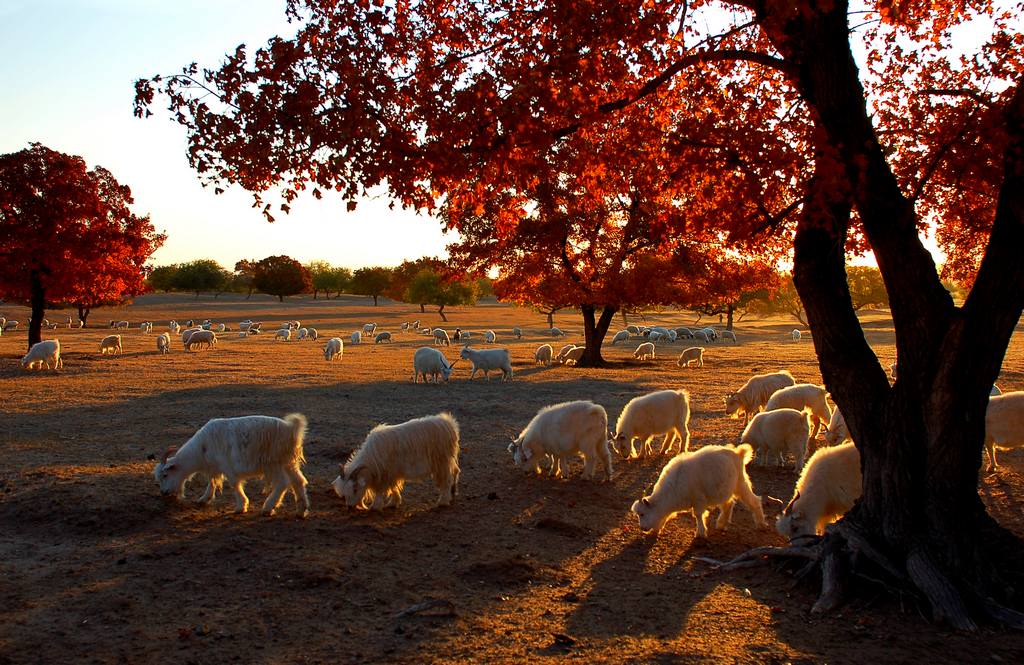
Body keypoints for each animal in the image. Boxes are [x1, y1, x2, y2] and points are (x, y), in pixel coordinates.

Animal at [151, 411, 309, 516]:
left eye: (165, 475)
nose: (163, 493)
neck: (201, 448)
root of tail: (291, 429)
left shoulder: (227, 466)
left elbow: (234, 484)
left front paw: (241, 506)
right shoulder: (214, 468)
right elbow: (212, 482)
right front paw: (204, 499)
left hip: (273, 463)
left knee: (283, 483)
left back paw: (268, 507)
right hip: (288, 462)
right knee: (298, 481)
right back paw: (301, 510)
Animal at [331, 411, 460, 510]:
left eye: (355, 489)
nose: (350, 507)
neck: (371, 458)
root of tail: (450, 423)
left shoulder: (386, 474)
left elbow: (381, 490)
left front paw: (376, 506)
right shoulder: (393, 473)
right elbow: (394, 487)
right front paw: (393, 502)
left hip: (442, 461)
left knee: (447, 479)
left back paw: (443, 501)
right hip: (448, 460)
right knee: (455, 471)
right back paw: (453, 491)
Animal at [626, 440, 765, 541]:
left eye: (642, 514)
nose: (642, 528)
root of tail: (738, 453)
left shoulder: (698, 500)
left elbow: (698, 515)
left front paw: (700, 533)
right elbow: (666, 515)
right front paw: (656, 531)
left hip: (740, 483)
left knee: (753, 500)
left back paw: (761, 524)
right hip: (723, 489)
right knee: (728, 504)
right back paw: (721, 524)